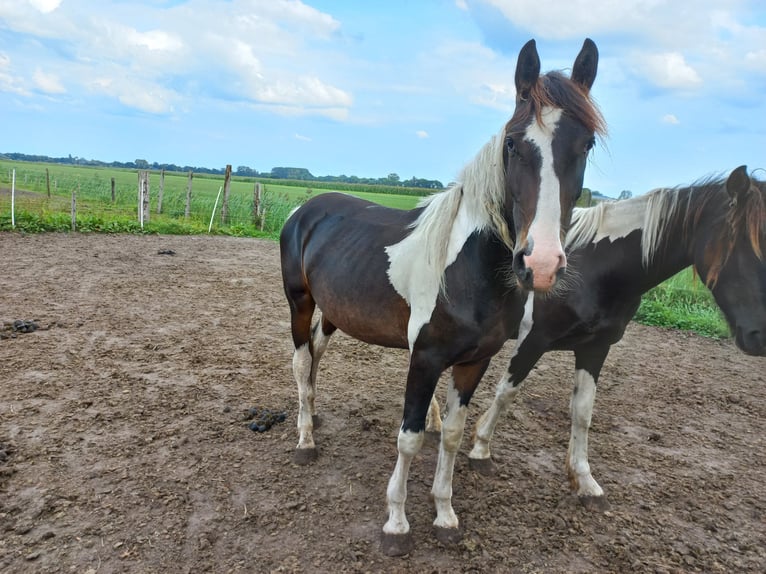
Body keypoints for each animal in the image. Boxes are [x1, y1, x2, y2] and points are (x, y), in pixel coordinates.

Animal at [280, 38, 608, 556]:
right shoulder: (426, 358)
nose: (539, 263)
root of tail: (305, 208)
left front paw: (445, 515)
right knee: (299, 361)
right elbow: (410, 439)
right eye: (512, 142)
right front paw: (396, 525)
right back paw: (305, 442)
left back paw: (313, 419)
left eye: (587, 144)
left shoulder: (475, 361)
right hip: (300, 302)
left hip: (334, 313)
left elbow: (452, 435)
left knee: (315, 355)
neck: (469, 269)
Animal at [468, 164, 766, 510]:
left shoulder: (595, 348)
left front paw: (585, 482)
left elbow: (582, 412)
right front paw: (481, 450)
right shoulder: (533, 339)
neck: (595, 265)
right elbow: (506, 393)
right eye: (744, 242)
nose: (759, 336)